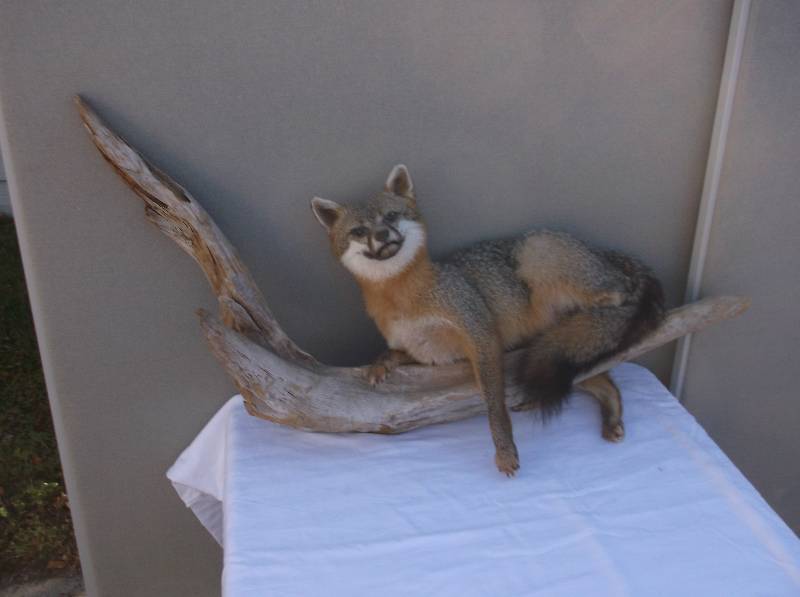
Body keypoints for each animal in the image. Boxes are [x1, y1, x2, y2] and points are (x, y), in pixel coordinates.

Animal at [310, 165, 664, 476]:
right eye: (359, 231)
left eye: (391, 216)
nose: (383, 234)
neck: (405, 301)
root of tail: (602, 252)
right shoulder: (433, 355)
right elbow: (397, 352)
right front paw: (381, 363)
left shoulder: (479, 333)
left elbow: (495, 404)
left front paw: (505, 449)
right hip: (557, 349)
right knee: (598, 378)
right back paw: (605, 413)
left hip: (537, 252)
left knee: (620, 294)